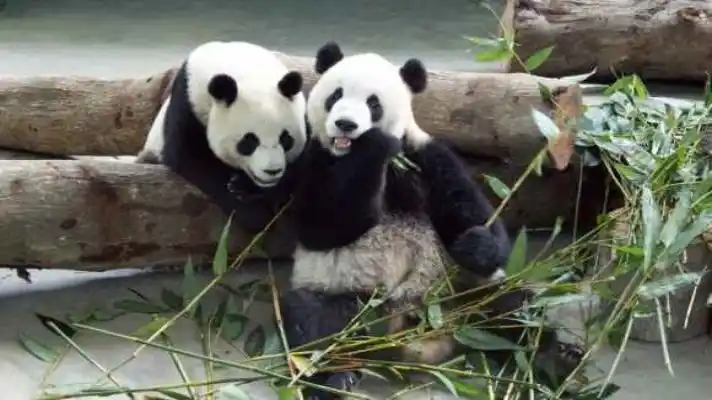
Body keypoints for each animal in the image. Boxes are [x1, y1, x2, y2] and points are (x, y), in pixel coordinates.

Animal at [136, 41, 309, 233]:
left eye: (286, 139)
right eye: (249, 141)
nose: (272, 171)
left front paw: (248, 188)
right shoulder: (188, 101)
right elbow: (192, 158)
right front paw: (253, 213)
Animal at [279, 42, 584, 399]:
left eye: (373, 103)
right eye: (335, 95)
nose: (345, 124)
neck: (350, 156)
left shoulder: (422, 154)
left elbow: (470, 211)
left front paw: (475, 244)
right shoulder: (315, 159)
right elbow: (321, 225)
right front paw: (373, 148)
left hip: (460, 287)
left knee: (511, 309)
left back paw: (556, 359)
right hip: (348, 293)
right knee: (316, 321)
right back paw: (333, 378)